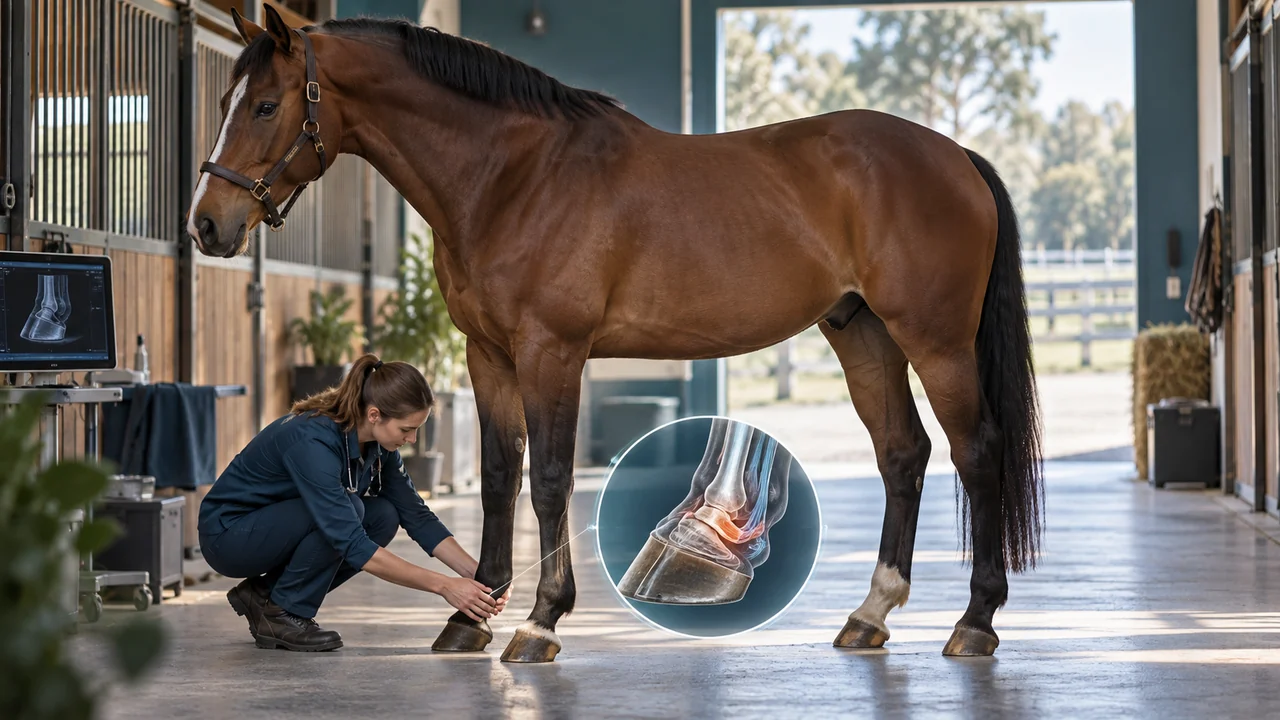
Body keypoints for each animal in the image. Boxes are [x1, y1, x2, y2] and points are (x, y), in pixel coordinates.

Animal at [187, 5, 1044, 664]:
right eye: (226, 98)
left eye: (265, 106)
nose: (206, 224)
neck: (513, 177)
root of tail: (955, 156)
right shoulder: (487, 355)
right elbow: (498, 475)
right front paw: (470, 614)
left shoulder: (552, 352)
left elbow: (549, 480)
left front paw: (538, 623)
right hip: (862, 336)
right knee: (903, 454)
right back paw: (870, 615)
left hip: (935, 342)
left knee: (976, 452)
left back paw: (974, 623)